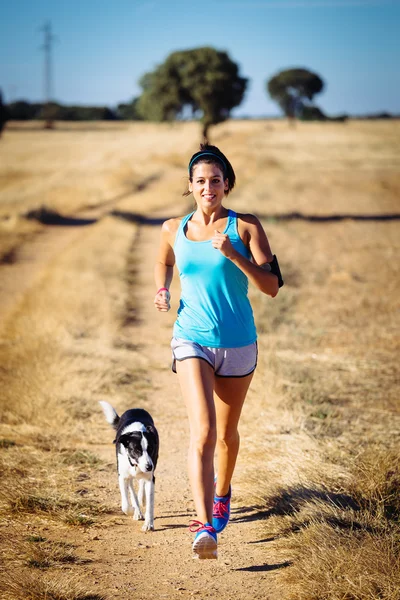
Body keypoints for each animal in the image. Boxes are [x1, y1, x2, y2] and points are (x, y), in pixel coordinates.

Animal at [99, 400, 159, 532]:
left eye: (151, 449)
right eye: (137, 450)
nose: (149, 467)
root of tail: (135, 408)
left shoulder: (151, 478)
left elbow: (150, 504)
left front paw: (148, 524)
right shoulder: (122, 476)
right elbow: (125, 505)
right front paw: (133, 510)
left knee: (141, 485)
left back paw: (142, 499)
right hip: (128, 475)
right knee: (131, 488)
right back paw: (137, 510)